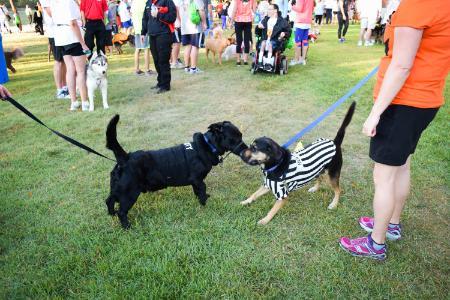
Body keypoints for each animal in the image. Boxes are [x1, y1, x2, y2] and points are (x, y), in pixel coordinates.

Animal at [105, 116, 248, 229]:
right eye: (235, 138)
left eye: (241, 135)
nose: (247, 149)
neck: (208, 145)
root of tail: (125, 158)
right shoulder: (198, 180)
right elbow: (201, 191)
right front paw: (204, 204)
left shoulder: (195, 182)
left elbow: (197, 192)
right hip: (129, 193)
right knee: (121, 212)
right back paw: (127, 226)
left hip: (118, 189)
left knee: (109, 201)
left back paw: (111, 214)